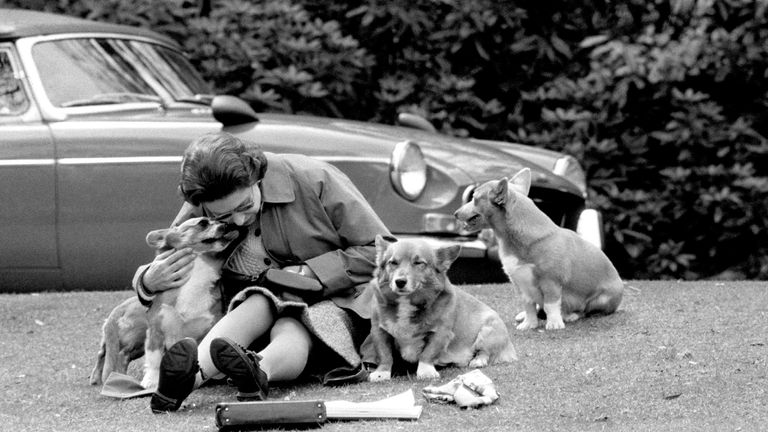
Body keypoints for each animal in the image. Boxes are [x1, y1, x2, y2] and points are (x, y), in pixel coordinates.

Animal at [88, 216, 237, 388]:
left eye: (219, 220)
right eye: (203, 223)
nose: (227, 224)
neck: (196, 275)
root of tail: (119, 309)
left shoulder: (208, 327)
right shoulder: (156, 331)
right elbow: (154, 360)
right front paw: (151, 381)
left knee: (116, 354)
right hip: (139, 336)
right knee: (112, 354)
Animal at [368, 236, 516, 382]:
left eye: (418, 263)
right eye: (393, 262)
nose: (399, 282)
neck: (407, 302)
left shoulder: (440, 333)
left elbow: (428, 354)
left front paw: (426, 371)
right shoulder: (379, 331)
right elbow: (385, 354)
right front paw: (381, 373)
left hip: (489, 331)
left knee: (485, 352)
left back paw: (477, 361)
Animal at [456, 169, 624, 330]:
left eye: (474, 198)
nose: (455, 213)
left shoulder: (550, 282)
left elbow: (550, 305)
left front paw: (554, 323)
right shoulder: (522, 286)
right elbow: (529, 306)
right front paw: (529, 324)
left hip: (602, 299)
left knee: (585, 310)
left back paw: (570, 315)